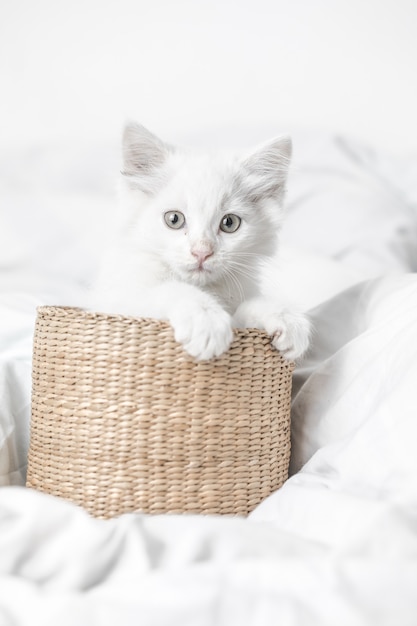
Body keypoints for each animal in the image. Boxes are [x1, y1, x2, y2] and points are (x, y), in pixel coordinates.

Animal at [90, 121, 308, 358]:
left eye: (229, 223)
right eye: (174, 219)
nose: (202, 252)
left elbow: (246, 309)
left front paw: (283, 316)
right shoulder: (118, 302)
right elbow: (168, 289)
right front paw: (206, 319)